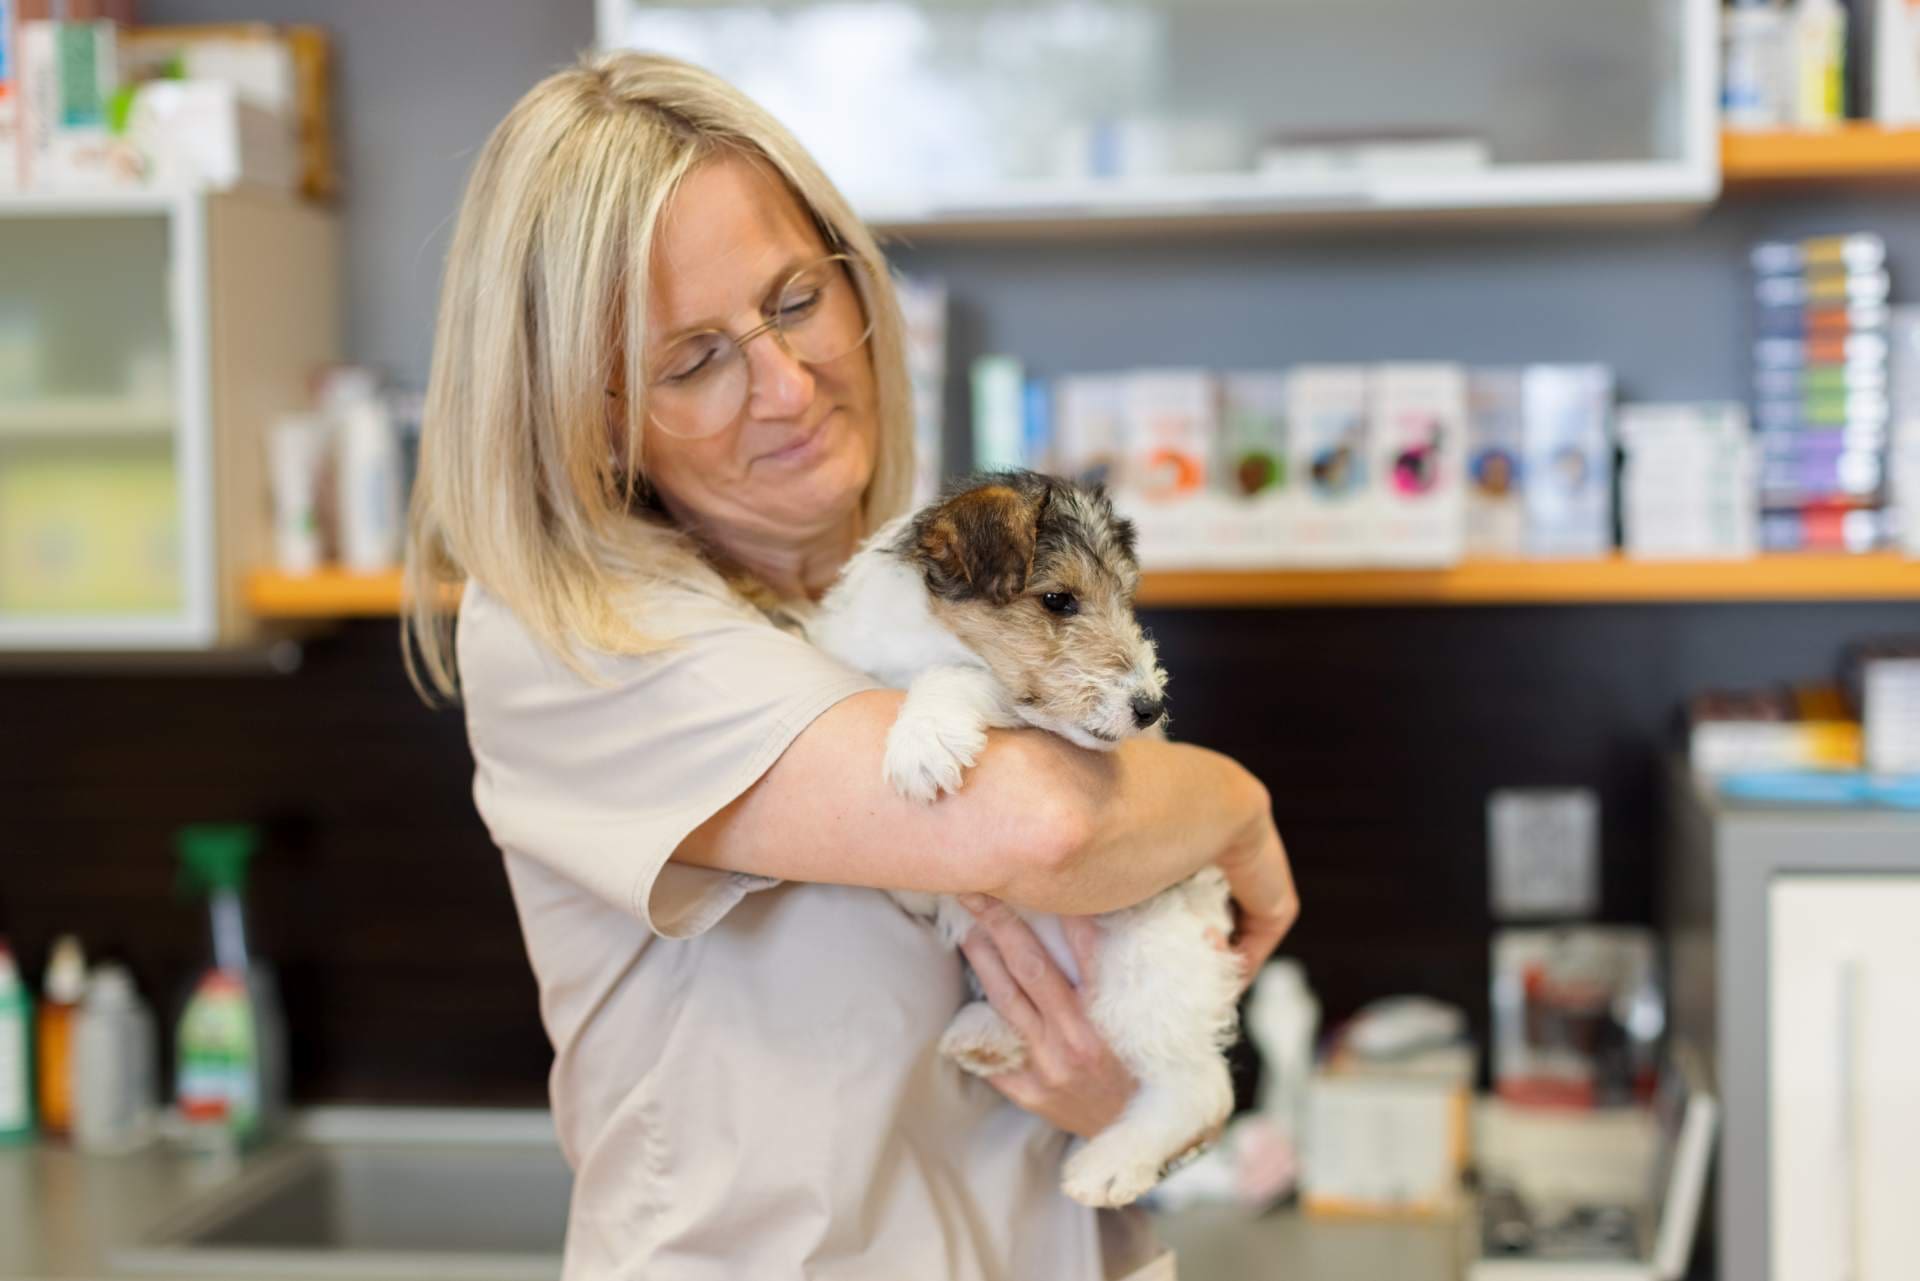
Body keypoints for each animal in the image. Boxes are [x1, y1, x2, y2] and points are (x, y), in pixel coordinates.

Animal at [807, 470, 1241, 1208]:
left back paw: (1112, 1163)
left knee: (1200, 1085)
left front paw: (924, 740)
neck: (925, 639)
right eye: (1058, 598)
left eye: (1125, 599)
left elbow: (965, 677)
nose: (1151, 707)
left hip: (1148, 956)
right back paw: (989, 1034)